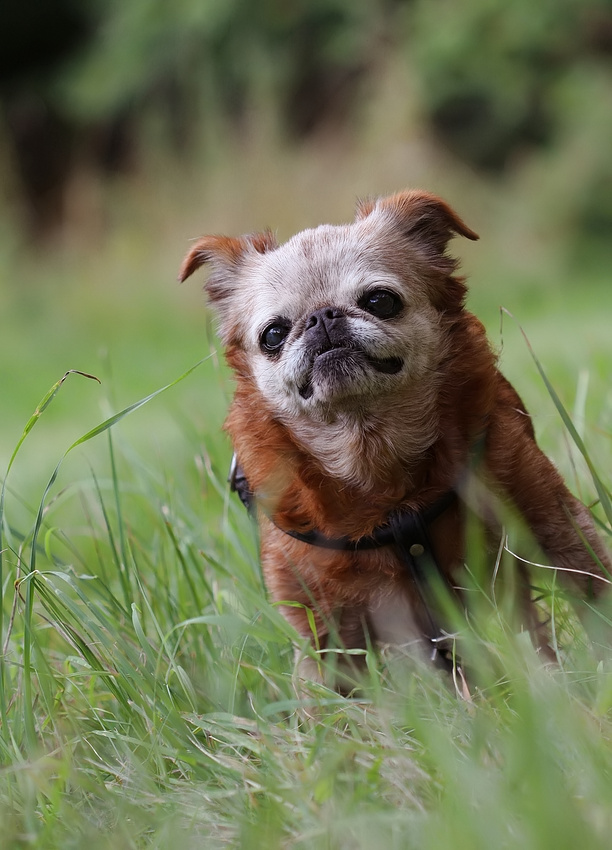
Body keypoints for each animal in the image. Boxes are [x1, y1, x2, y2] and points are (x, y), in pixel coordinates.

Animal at [179, 189, 608, 680]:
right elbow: (327, 694)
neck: (373, 457)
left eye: (380, 300)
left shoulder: (554, 525)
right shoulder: (319, 627)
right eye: (273, 334)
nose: (322, 317)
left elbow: (594, 596)